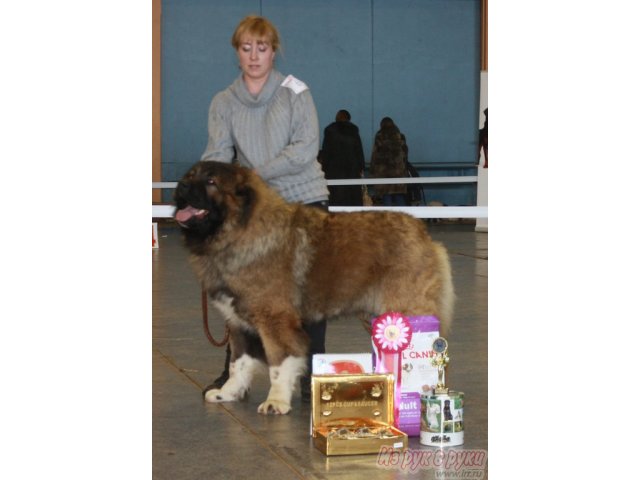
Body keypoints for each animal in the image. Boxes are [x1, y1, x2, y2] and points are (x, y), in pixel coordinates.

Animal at [174, 162, 456, 416]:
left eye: (211, 182)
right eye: (190, 175)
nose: (182, 186)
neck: (239, 232)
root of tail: (422, 232)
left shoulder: (275, 320)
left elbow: (279, 363)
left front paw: (276, 401)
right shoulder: (238, 322)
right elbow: (238, 363)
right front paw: (229, 392)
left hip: (408, 311)